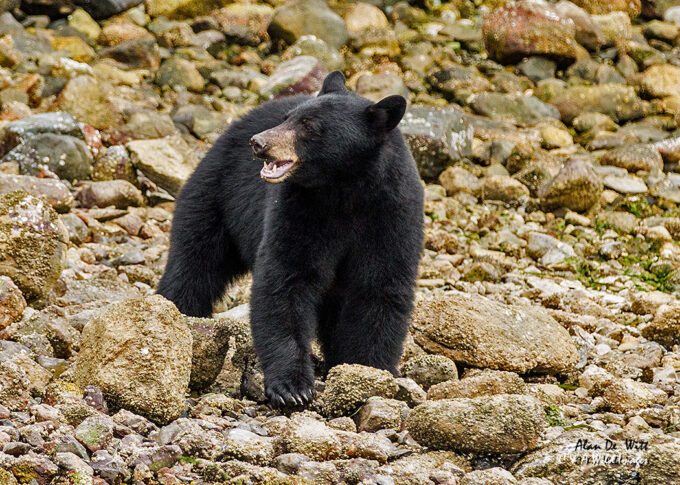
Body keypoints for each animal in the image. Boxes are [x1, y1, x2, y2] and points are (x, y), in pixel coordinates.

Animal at [158, 71, 424, 407]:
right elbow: (286, 279)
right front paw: (292, 386)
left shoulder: (391, 216)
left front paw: (366, 370)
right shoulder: (299, 209)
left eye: (309, 125)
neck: (344, 191)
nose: (259, 142)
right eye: (287, 118)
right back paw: (178, 312)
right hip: (216, 197)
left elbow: (379, 287)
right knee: (194, 262)